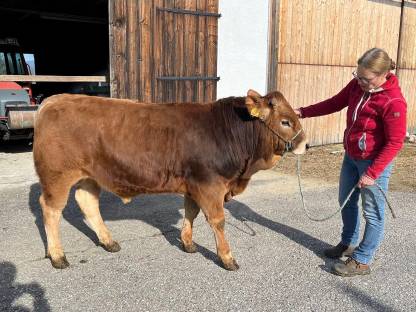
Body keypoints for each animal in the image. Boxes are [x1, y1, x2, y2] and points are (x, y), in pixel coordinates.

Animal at [32, 89, 308, 270]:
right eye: (285, 122)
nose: (305, 144)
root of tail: (55, 99)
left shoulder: (194, 184)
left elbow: (191, 212)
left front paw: (188, 243)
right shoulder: (210, 184)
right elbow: (217, 221)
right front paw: (227, 258)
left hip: (89, 176)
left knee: (87, 202)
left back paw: (108, 241)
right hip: (57, 176)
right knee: (50, 210)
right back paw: (57, 256)